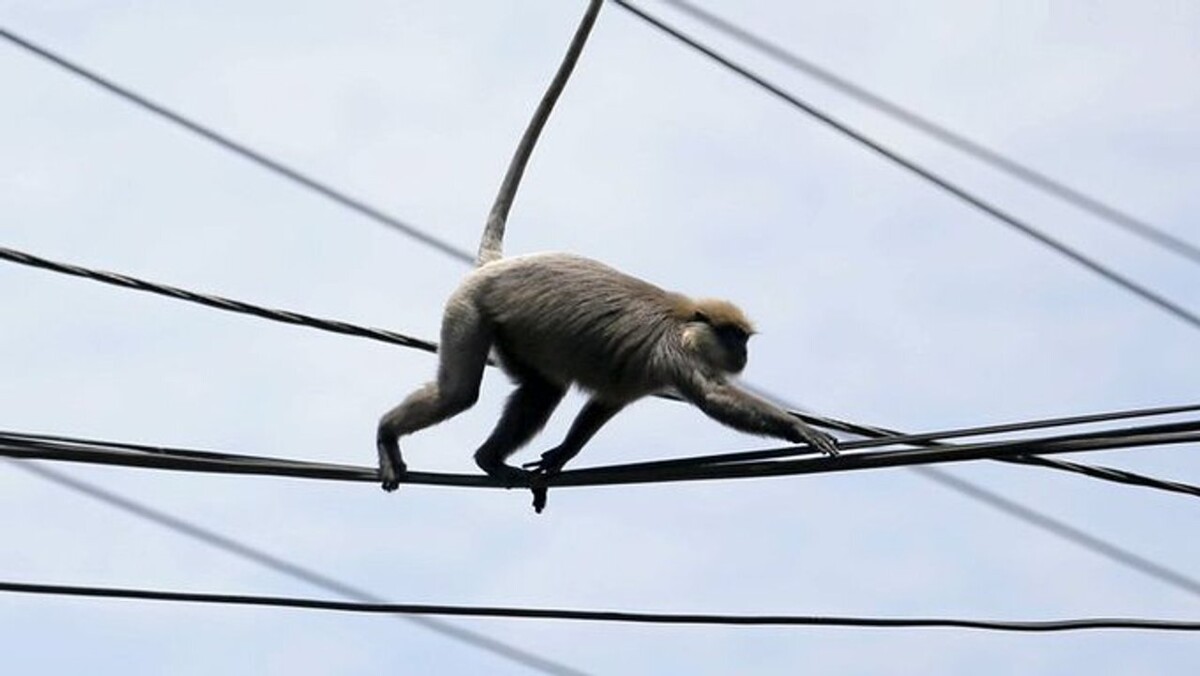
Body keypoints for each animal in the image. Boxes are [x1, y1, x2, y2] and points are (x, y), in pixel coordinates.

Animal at [375, 0, 838, 510]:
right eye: (735, 337)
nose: (743, 353)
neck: (686, 324)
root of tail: (499, 263)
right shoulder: (677, 355)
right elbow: (716, 399)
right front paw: (797, 427)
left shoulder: (642, 375)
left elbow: (603, 405)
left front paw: (559, 457)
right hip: (468, 309)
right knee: (459, 393)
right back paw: (389, 434)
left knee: (542, 388)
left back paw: (487, 459)